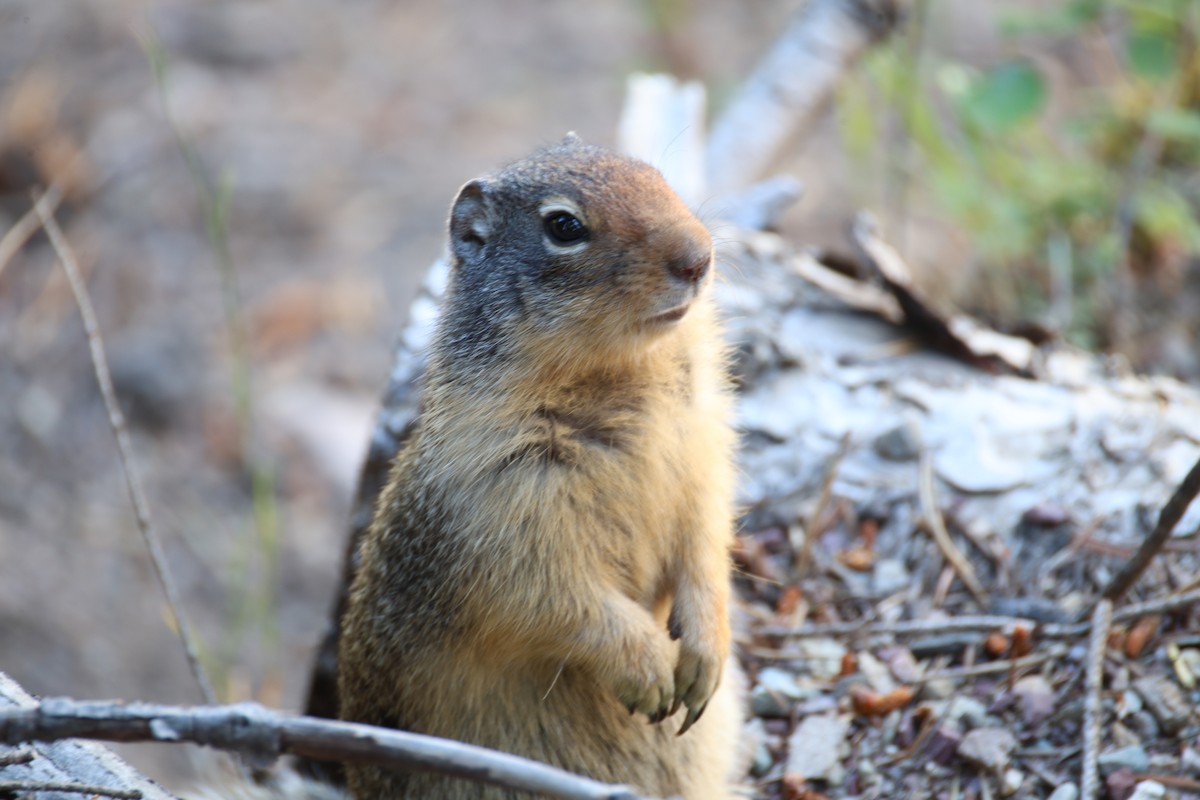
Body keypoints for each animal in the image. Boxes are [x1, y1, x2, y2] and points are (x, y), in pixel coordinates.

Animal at [337, 135, 743, 799]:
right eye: (563, 226)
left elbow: (707, 547)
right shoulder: (504, 511)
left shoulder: (706, 452)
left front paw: (705, 654)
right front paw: (651, 670)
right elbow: (559, 599)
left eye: (656, 176)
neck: (622, 377)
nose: (698, 258)